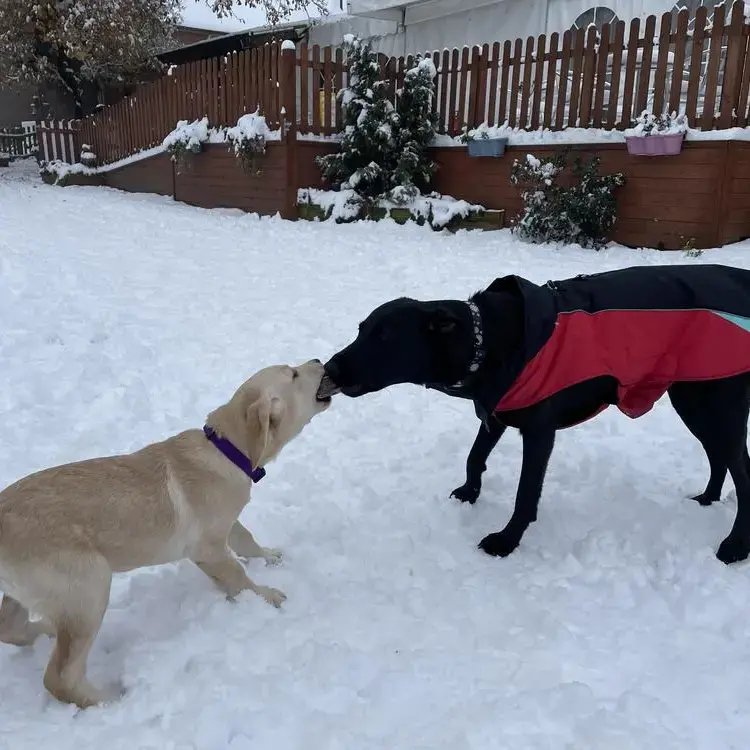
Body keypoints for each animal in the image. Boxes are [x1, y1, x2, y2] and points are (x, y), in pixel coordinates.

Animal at [0, 362, 332, 712]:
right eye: (293, 374)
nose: (318, 361)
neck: (227, 450)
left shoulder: (224, 527)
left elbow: (246, 541)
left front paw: (268, 557)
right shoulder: (207, 547)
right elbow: (238, 575)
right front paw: (266, 597)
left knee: (10, 629)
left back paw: (46, 630)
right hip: (88, 583)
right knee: (60, 676)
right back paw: (108, 701)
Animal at [322, 264, 750, 564]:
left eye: (385, 337)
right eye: (361, 329)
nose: (330, 367)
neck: (486, 341)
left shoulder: (540, 431)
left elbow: (526, 494)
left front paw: (506, 541)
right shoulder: (495, 411)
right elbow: (474, 457)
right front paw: (470, 492)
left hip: (715, 403)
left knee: (740, 472)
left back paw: (735, 545)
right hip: (693, 400)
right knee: (718, 458)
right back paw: (708, 498)